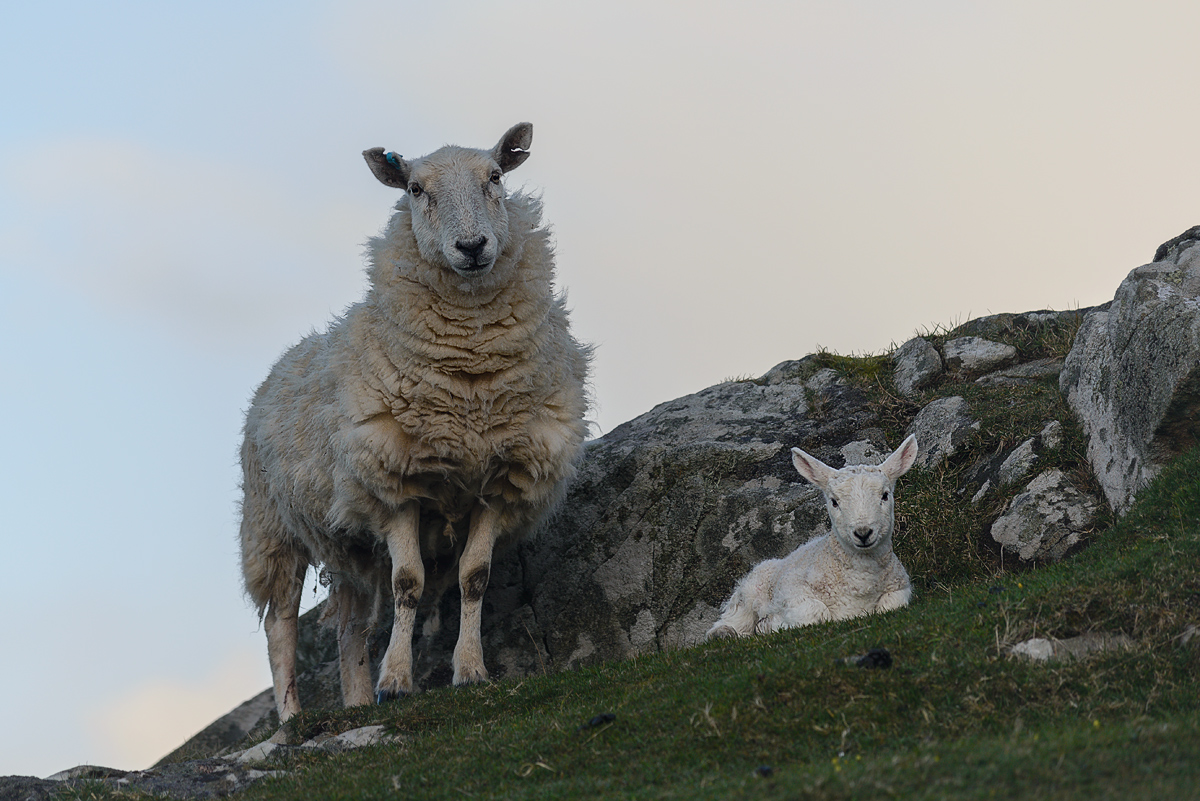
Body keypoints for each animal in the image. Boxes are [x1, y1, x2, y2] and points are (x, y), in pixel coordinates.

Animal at [239, 123, 591, 722]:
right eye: (415, 188)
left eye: (495, 177)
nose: (472, 248)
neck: (470, 383)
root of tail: (282, 361)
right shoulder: (395, 481)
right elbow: (408, 584)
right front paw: (399, 682)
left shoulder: (501, 480)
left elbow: (474, 579)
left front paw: (470, 671)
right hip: (272, 526)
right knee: (280, 623)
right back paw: (292, 720)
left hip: (346, 536)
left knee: (350, 628)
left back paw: (357, 702)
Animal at [706, 435, 919, 639]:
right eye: (834, 502)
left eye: (885, 495)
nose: (863, 532)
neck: (861, 584)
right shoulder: (792, 591)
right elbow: (815, 612)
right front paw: (769, 625)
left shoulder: (899, 587)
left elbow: (891, 604)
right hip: (749, 589)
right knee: (734, 619)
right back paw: (723, 633)